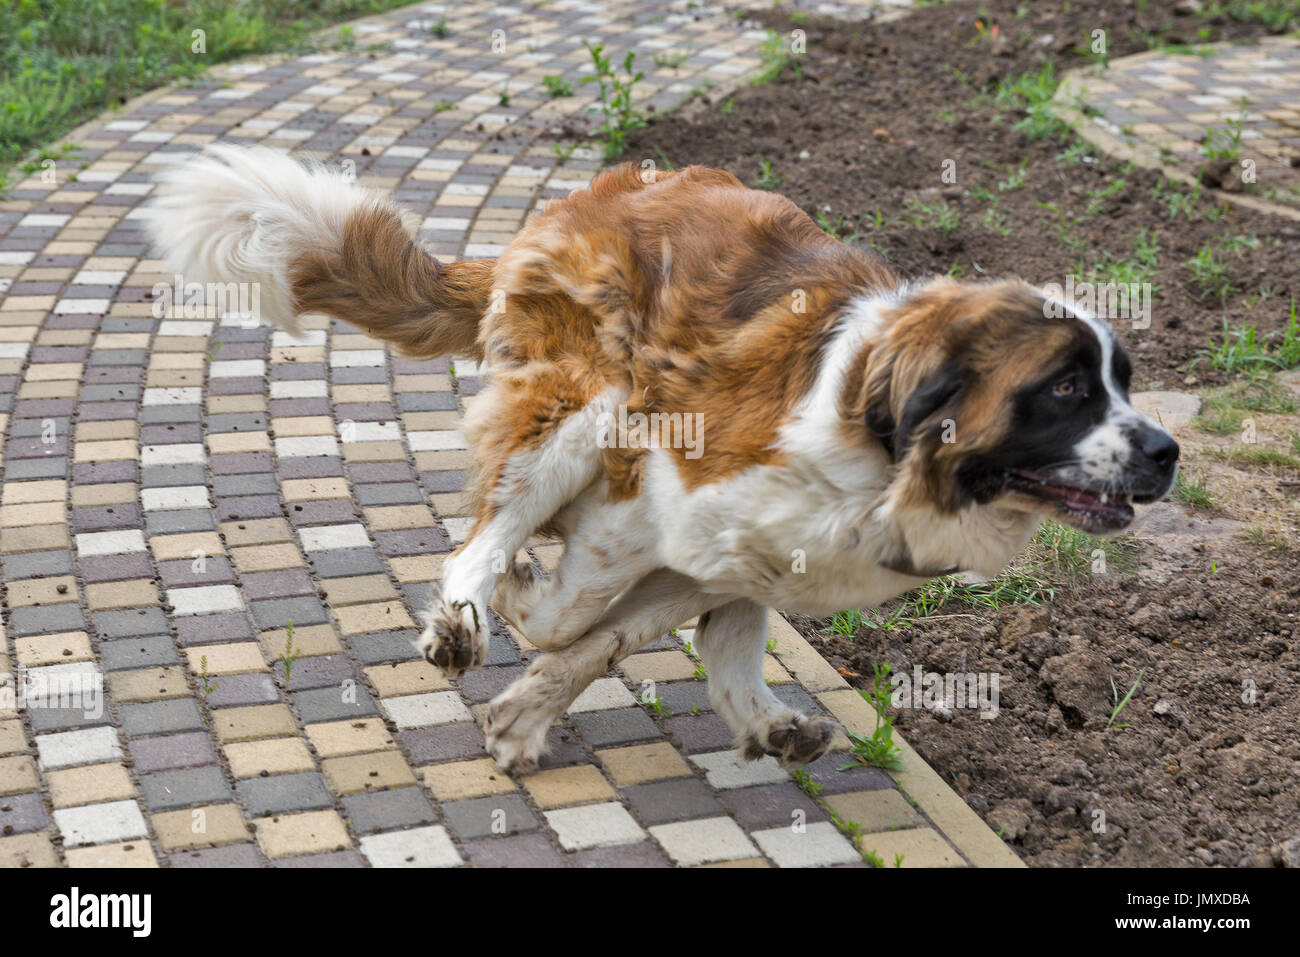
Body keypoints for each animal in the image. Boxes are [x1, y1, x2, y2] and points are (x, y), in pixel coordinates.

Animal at [144, 145, 1180, 769]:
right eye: (1066, 389)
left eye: (1122, 379)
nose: (1168, 451)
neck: (880, 452)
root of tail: (579, 199)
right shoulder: (661, 499)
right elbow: (572, 619)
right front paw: (519, 609)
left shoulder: (734, 555)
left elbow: (639, 637)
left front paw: (536, 711)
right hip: (588, 406)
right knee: (485, 530)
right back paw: (473, 606)